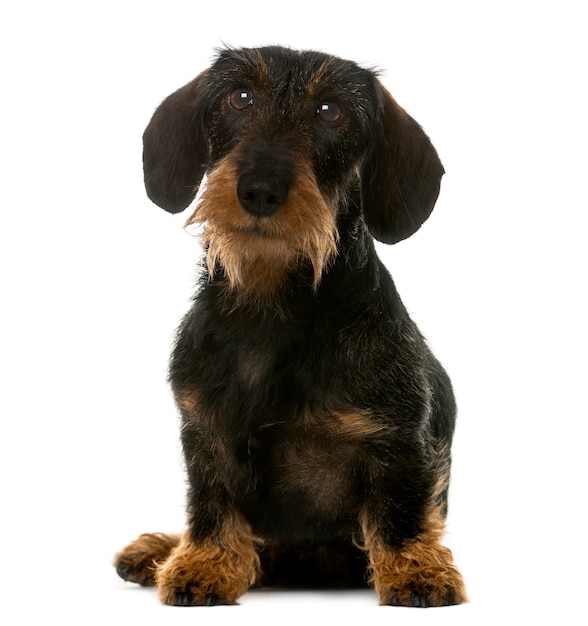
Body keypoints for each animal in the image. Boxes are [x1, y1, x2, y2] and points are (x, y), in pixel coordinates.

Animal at [113, 45, 464, 604]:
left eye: (330, 111)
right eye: (239, 97)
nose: (259, 191)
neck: (271, 306)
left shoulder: (399, 440)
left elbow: (401, 510)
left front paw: (416, 571)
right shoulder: (206, 429)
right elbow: (211, 505)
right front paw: (204, 563)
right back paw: (161, 550)